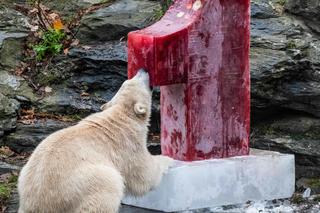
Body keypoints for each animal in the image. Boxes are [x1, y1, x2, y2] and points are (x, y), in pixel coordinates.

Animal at [18, 69, 172, 212]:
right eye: (138, 79)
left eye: (129, 79)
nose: (143, 69)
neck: (121, 113)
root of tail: (37, 205)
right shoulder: (129, 143)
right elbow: (144, 175)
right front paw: (167, 160)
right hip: (82, 185)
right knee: (110, 185)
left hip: (25, 175)